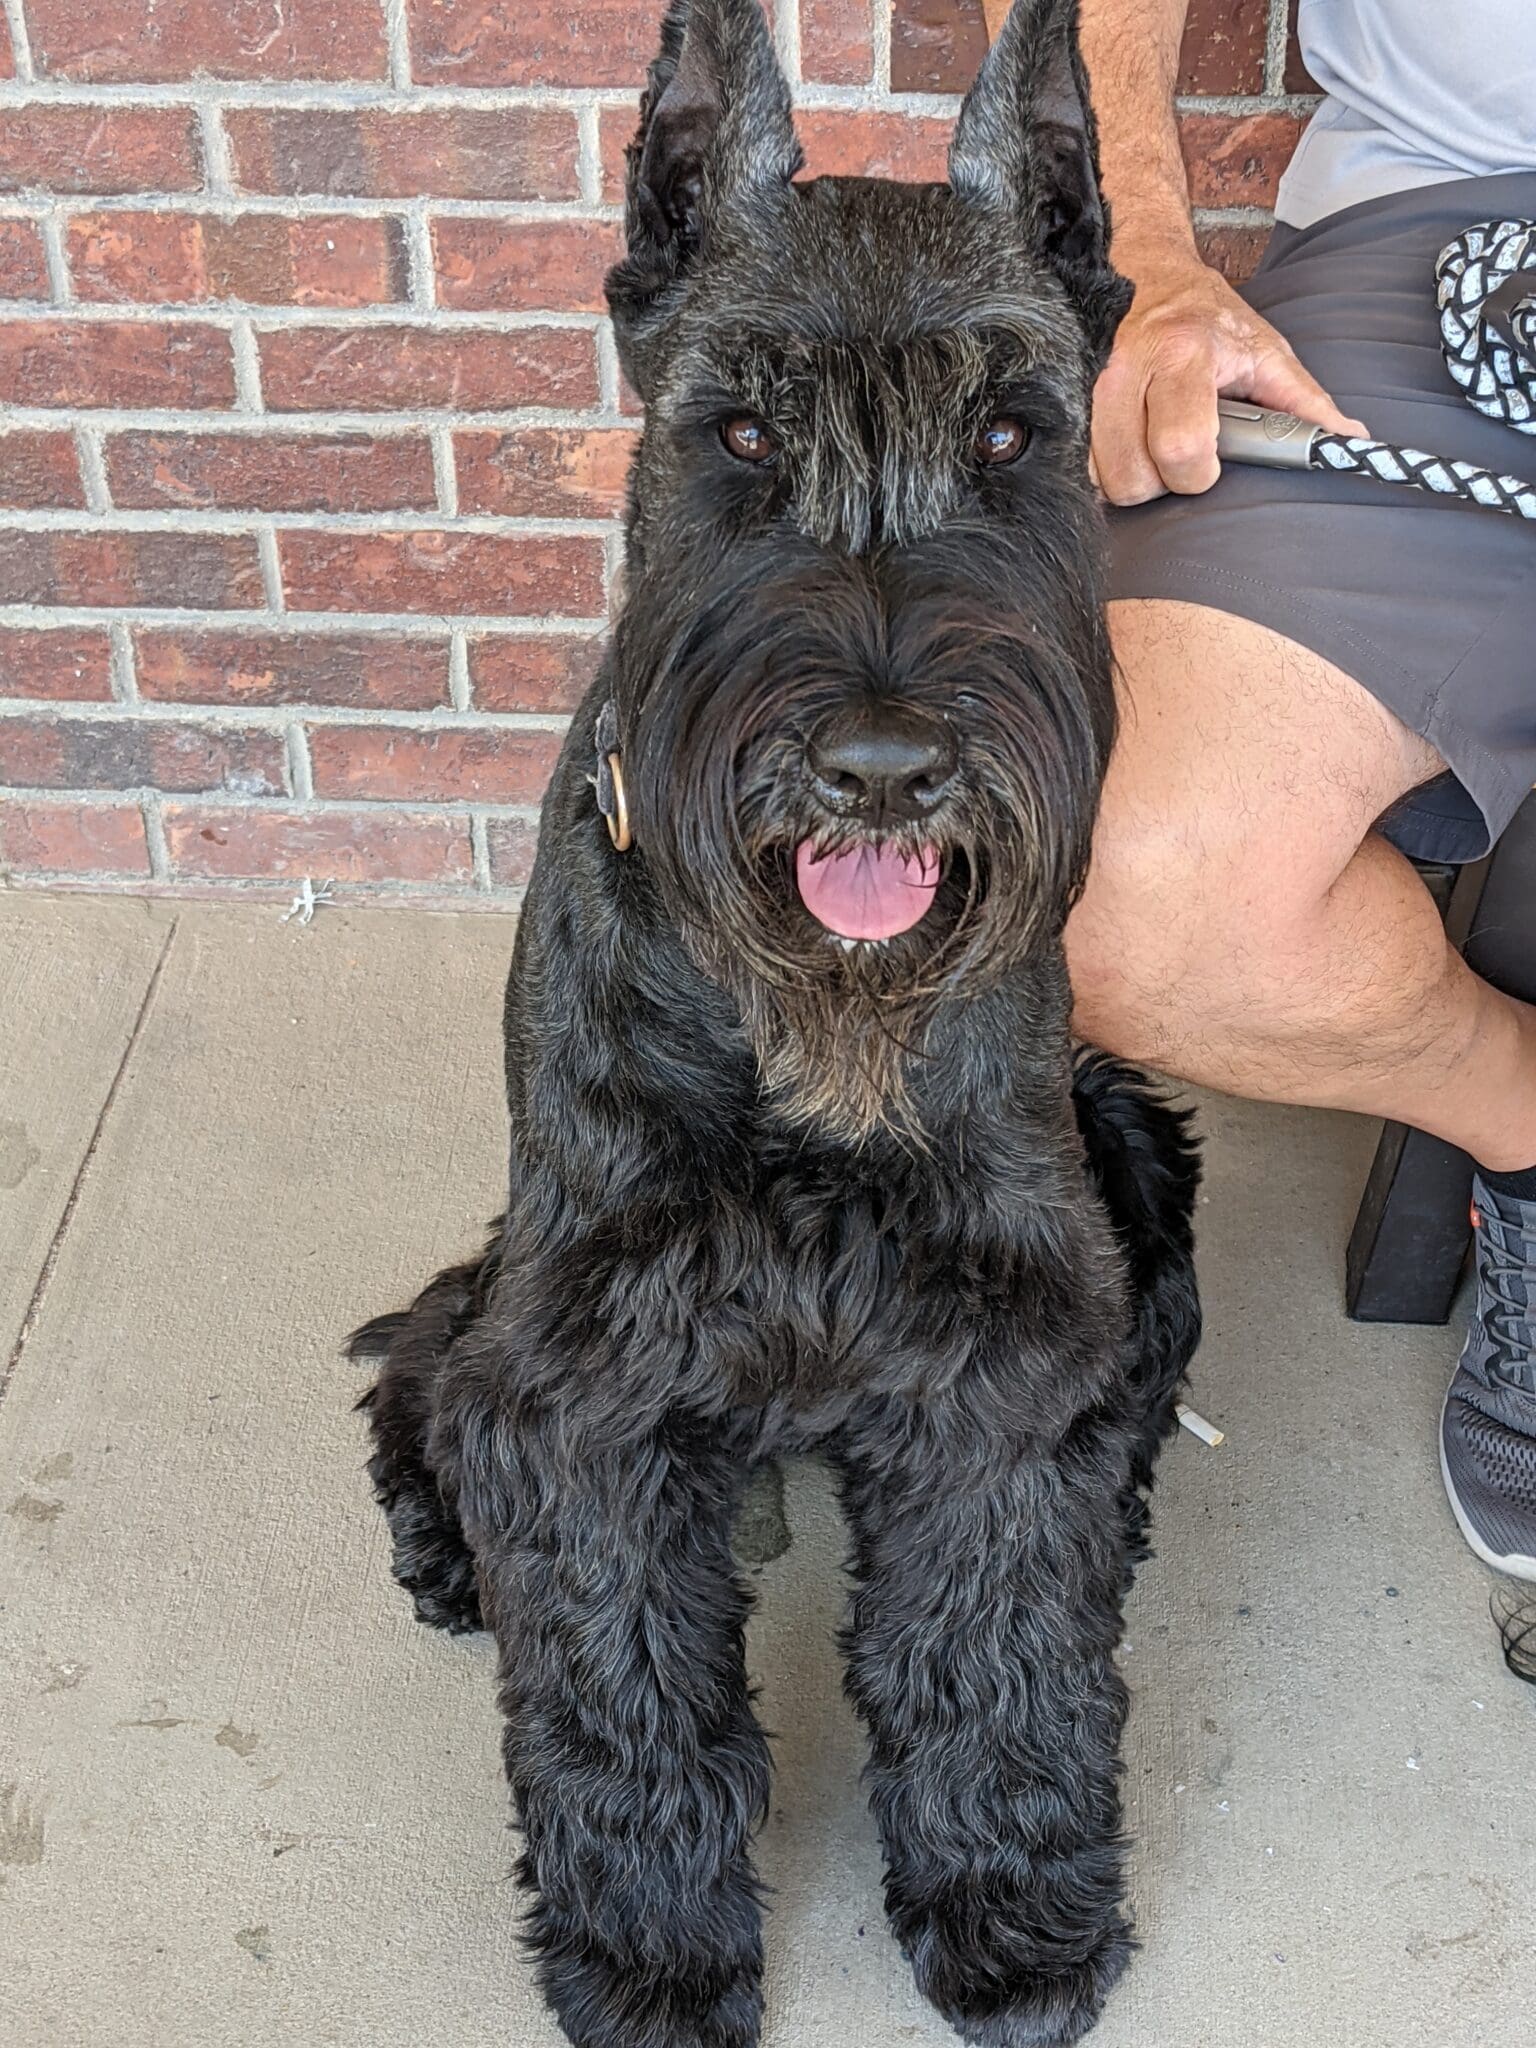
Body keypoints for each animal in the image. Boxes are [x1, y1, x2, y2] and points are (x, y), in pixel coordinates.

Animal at [352, 8, 1204, 2039]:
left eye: (1010, 437)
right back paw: (436, 1532)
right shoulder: (583, 1360)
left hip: (1132, 1135)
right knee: (423, 1349)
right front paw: (649, 1959)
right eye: (738, 434)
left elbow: (1000, 1646)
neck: (816, 1045)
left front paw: (1013, 1911)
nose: (883, 769)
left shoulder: (997, 1343)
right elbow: (619, 1693)